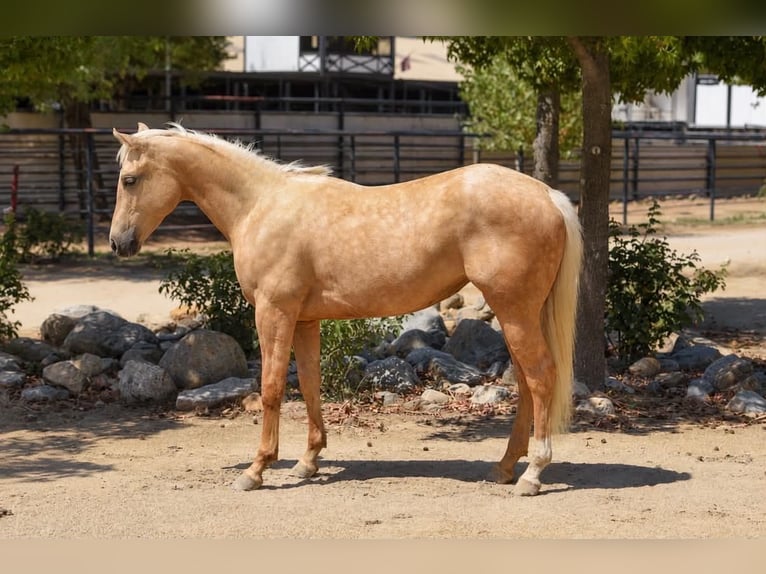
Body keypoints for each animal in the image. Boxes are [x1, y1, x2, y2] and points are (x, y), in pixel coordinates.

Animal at [110, 122, 583, 496]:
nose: (118, 243)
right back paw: (504, 468)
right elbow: (310, 385)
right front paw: (308, 461)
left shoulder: (274, 314)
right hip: (516, 313)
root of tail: (548, 196)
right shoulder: (304, 320)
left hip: (515, 311)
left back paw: (532, 474)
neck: (261, 205)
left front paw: (256, 470)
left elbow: (271, 389)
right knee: (526, 383)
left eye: (129, 180)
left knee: (540, 378)